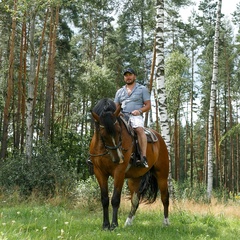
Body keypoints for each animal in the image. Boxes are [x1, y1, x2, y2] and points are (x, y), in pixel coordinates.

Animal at [89, 98, 170, 231]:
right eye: (103, 133)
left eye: (118, 130)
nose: (118, 158)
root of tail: (159, 138)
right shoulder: (99, 172)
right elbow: (104, 199)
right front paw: (105, 225)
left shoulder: (119, 172)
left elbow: (115, 199)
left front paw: (114, 225)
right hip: (134, 179)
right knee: (135, 201)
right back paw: (128, 222)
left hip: (162, 175)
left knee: (165, 198)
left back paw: (166, 222)